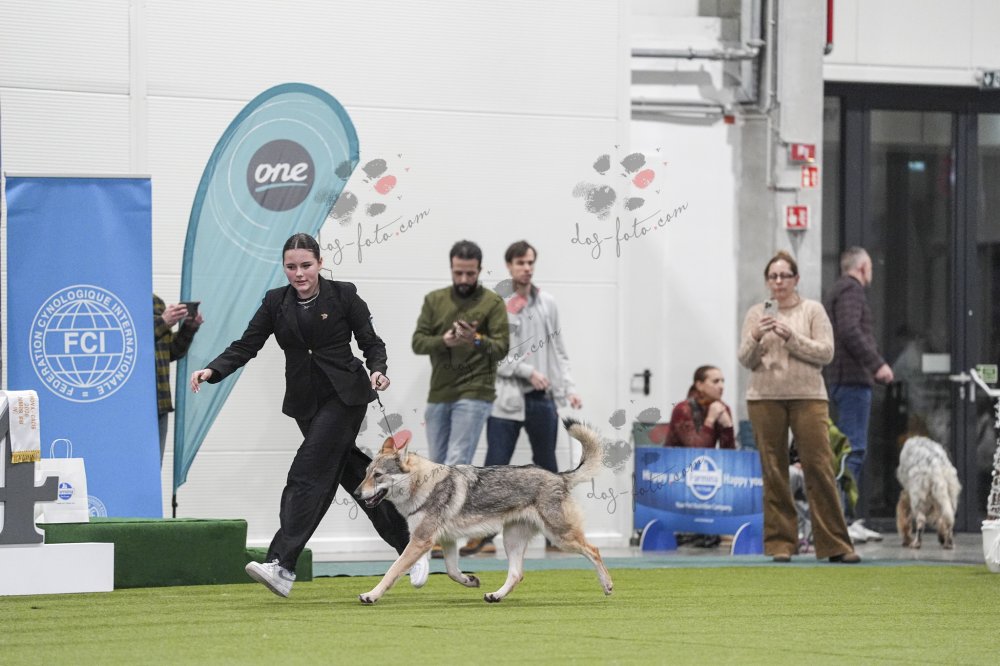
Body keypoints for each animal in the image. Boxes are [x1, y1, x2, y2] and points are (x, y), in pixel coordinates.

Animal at [353, 419, 613, 604]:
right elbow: (451, 572)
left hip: (560, 538)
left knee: (595, 550)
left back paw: (607, 585)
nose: (355, 493)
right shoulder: (446, 541)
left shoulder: (421, 541)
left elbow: (392, 570)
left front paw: (371, 595)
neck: (422, 485)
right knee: (517, 574)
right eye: (365, 473)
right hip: (512, 540)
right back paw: (495, 595)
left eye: (378, 476)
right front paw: (470, 580)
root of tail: (559, 476)